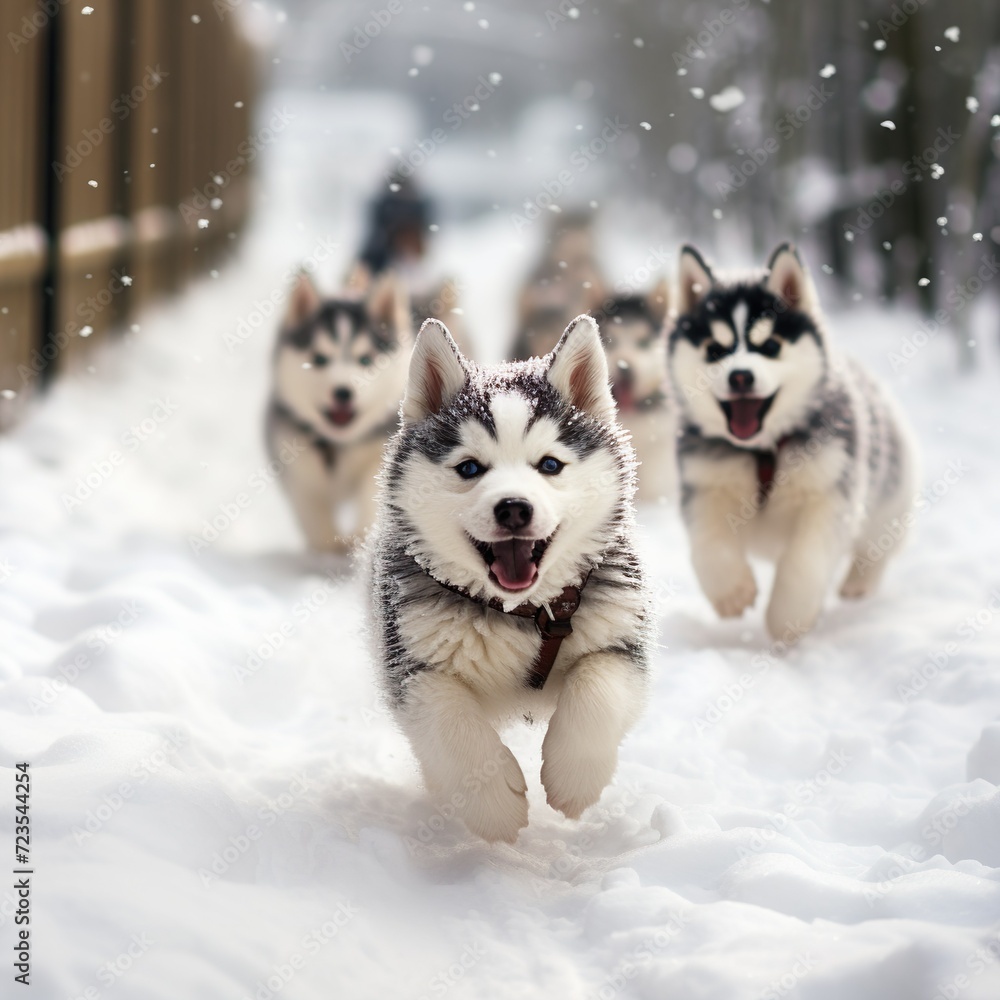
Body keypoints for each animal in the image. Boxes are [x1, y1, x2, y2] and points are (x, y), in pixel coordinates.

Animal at [266, 272, 410, 556]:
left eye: (365, 360)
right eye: (319, 359)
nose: (343, 392)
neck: (338, 444)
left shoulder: (380, 449)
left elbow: (371, 492)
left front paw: (360, 538)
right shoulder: (295, 459)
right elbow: (312, 509)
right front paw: (328, 549)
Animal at [372, 314, 652, 844]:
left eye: (550, 464)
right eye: (469, 467)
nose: (514, 508)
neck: (522, 612)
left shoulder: (620, 635)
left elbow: (599, 687)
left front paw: (573, 778)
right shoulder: (412, 658)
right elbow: (446, 718)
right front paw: (492, 804)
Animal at [668, 242, 916, 640]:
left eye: (770, 345)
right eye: (715, 350)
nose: (740, 376)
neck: (763, 450)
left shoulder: (830, 489)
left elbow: (806, 559)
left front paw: (788, 617)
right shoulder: (704, 483)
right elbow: (708, 547)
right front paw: (732, 593)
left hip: (891, 492)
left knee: (878, 544)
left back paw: (858, 584)